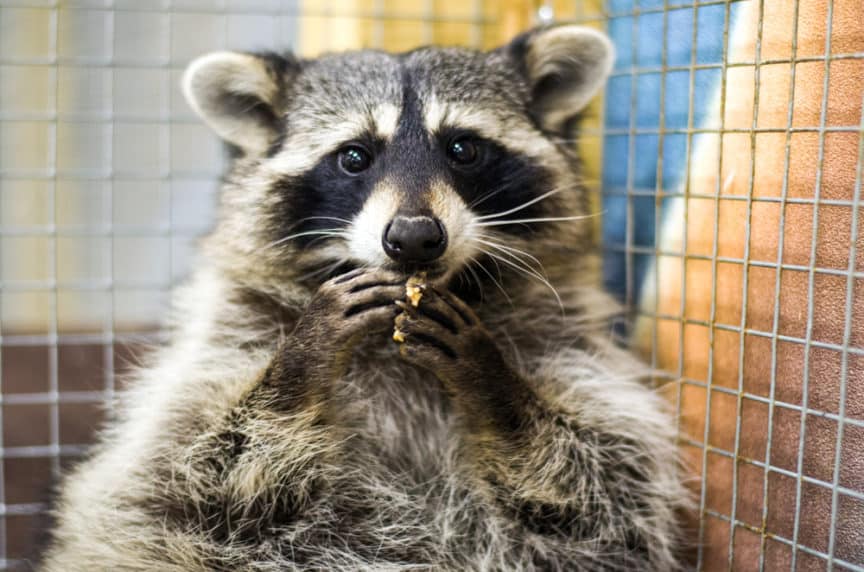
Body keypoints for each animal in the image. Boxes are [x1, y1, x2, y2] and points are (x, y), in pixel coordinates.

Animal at [43, 25, 688, 571]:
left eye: (463, 149)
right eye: (354, 156)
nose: (415, 237)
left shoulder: (564, 339)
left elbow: (603, 491)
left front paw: (494, 383)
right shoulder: (224, 343)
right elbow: (190, 475)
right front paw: (304, 357)